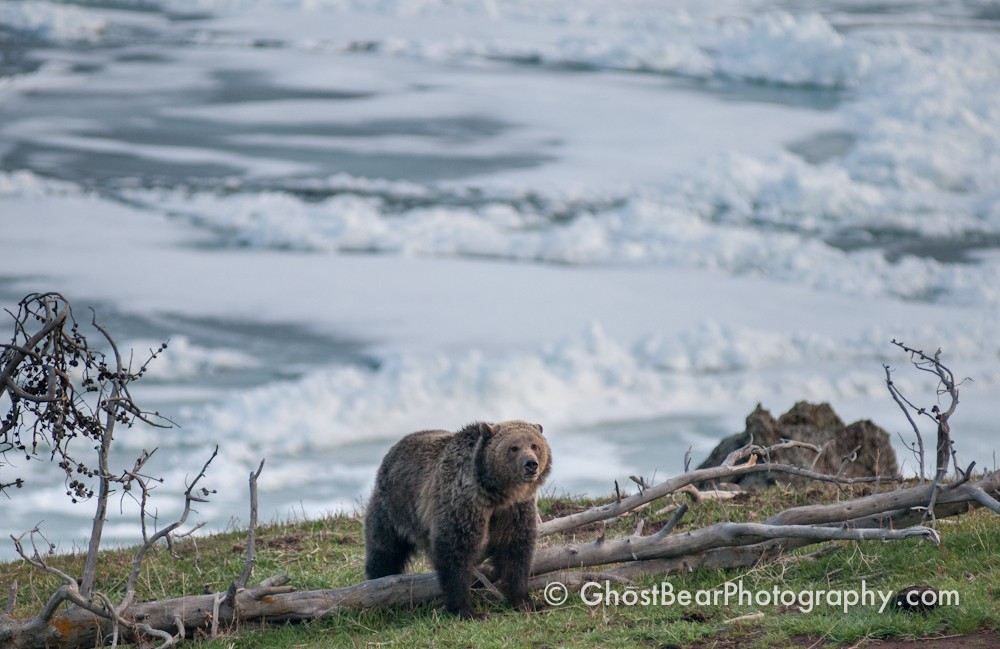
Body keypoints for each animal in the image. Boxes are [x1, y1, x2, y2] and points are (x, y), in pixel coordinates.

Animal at [368, 420, 552, 616]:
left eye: (534, 445)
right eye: (513, 447)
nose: (531, 464)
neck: (496, 494)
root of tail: (395, 447)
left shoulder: (514, 509)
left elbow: (515, 548)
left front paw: (524, 601)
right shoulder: (463, 502)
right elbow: (455, 549)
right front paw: (467, 610)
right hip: (394, 508)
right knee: (385, 549)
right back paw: (378, 581)